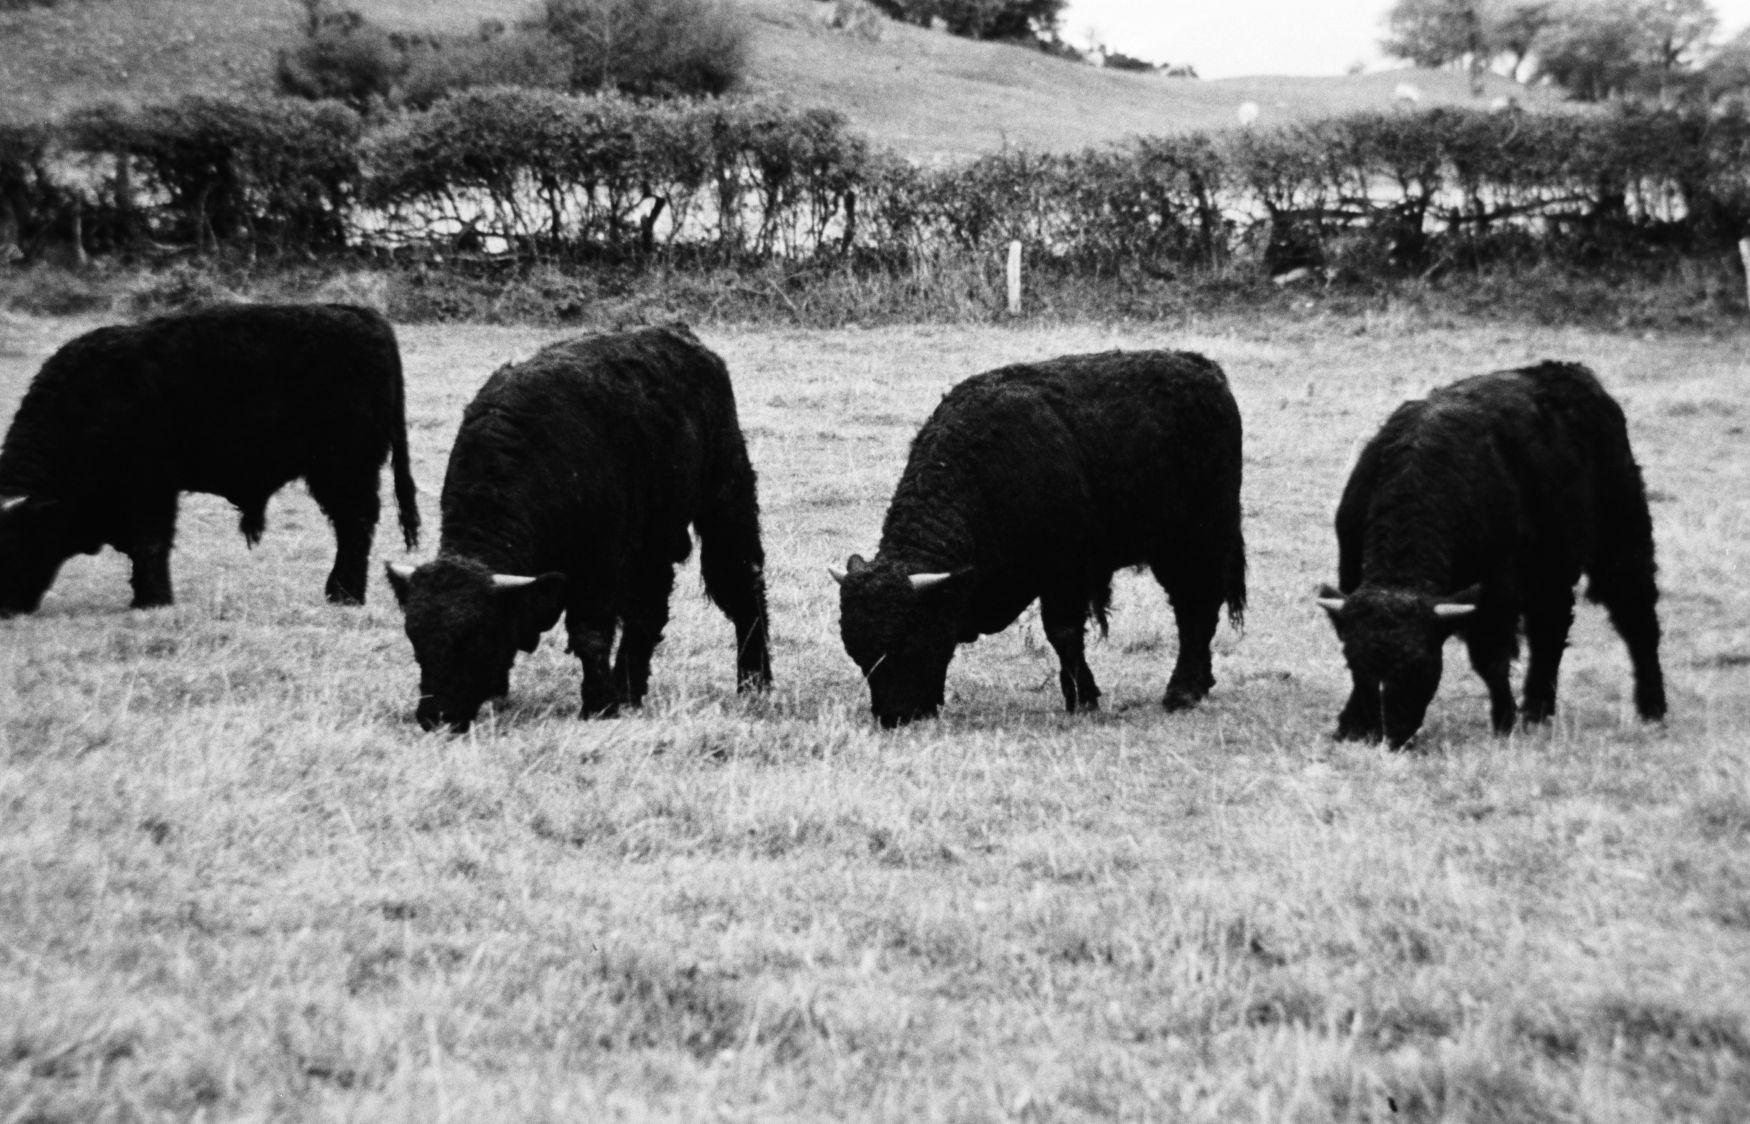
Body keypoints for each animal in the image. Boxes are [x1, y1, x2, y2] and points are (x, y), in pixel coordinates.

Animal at [0, 303, 419, 614]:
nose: (8, 609)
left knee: (355, 525)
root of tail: (361, 314)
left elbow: (151, 544)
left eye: (19, 539)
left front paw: (151, 601)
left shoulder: (151, 490)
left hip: (344, 470)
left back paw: (343, 595)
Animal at [385, 324, 772, 732]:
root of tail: (687, 342)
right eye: (415, 640)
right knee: (648, 612)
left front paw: (598, 706)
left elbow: (589, 635)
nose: (436, 717)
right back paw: (629, 690)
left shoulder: (598, 567)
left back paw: (754, 682)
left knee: (743, 588)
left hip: (726, 502)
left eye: (475, 637)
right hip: (650, 544)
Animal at [835, 348, 1247, 728]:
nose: (895, 717)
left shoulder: (1065, 574)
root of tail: (1202, 366)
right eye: (858, 653)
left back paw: (1183, 691)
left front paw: (1082, 698)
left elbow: (1062, 633)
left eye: (909, 642)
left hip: (1196, 541)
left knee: (1196, 605)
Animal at [1318, 361, 1667, 749]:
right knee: (1551, 630)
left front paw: (1504, 722)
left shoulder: (1496, 596)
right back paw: (1538, 711)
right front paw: (1350, 724)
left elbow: (1491, 660)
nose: (1389, 738)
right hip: (1551, 572)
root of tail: (1572, 374)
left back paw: (1652, 709)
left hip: (1622, 541)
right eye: (1353, 663)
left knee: (1637, 618)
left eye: (1421, 664)